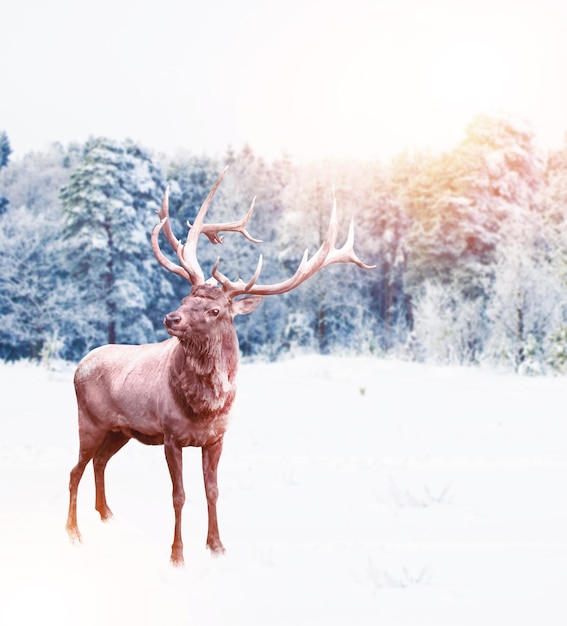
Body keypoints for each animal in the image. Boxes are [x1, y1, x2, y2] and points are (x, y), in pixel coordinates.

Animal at [65, 167, 378, 564]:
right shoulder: (171, 435)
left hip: (119, 431)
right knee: (75, 469)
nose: (171, 318)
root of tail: (79, 366)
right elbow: (179, 496)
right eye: (186, 298)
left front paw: (216, 545)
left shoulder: (217, 437)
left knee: (99, 463)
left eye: (214, 310)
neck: (205, 407)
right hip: (88, 421)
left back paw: (107, 515)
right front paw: (177, 554)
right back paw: (73, 532)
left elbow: (212, 490)